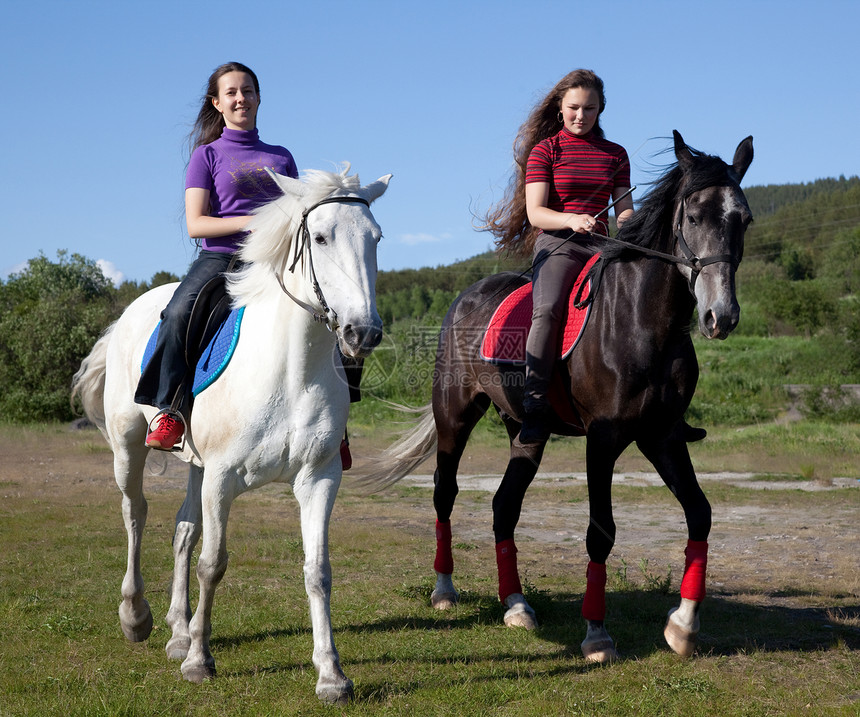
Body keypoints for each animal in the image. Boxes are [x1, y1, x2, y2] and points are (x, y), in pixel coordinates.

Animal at [72, 165, 392, 704]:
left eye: (376, 238)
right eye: (320, 238)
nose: (362, 333)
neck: (291, 369)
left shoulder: (319, 479)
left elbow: (317, 570)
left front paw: (331, 674)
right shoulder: (223, 477)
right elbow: (213, 563)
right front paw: (200, 661)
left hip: (197, 466)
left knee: (182, 529)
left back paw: (178, 631)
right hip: (129, 445)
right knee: (135, 513)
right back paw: (136, 617)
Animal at [360, 133, 748, 660]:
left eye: (743, 218)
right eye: (692, 217)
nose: (720, 316)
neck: (643, 321)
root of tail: (466, 296)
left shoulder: (662, 436)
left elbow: (700, 515)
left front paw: (683, 626)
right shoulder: (603, 439)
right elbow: (601, 532)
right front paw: (597, 634)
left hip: (526, 431)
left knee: (504, 506)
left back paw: (516, 606)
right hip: (454, 415)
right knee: (445, 493)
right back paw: (444, 590)